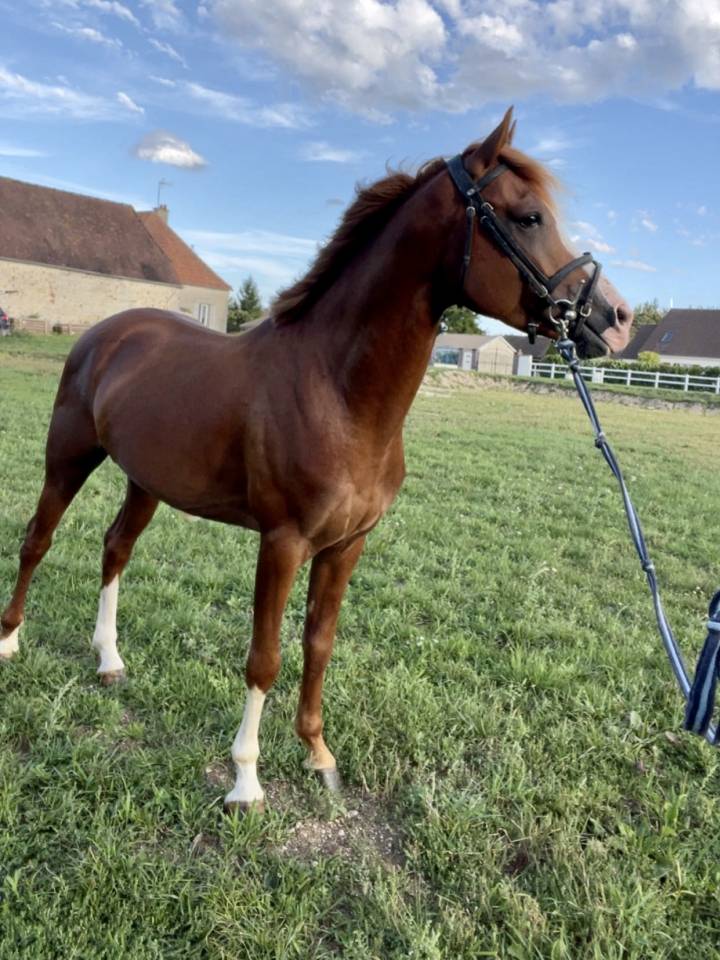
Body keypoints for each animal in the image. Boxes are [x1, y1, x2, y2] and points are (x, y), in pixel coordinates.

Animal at [0, 108, 632, 812]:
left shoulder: (346, 545)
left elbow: (319, 643)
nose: (615, 318)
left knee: (115, 548)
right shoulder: (282, 542)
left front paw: (317, 754)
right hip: (68, 458)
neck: (336, 389)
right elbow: (265, 657)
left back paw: (109, 660)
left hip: (146, 480)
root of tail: (106, 333)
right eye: (527, 217)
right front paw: (246, 781)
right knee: (37, 540)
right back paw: (10, 640)